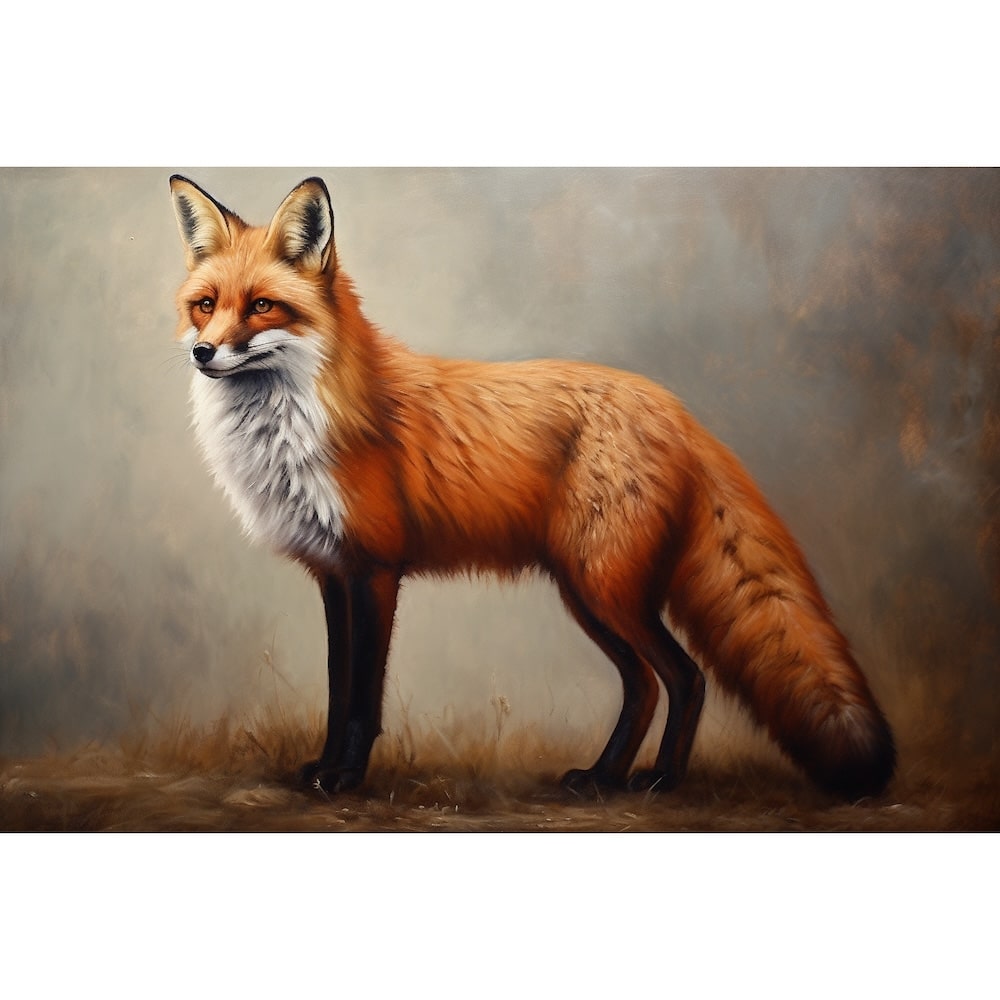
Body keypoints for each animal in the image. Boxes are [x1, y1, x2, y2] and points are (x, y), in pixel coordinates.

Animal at [169, 174, 896, 801]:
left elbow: (362, 698)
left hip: (604, 588)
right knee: (644, 686)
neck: (298, 426)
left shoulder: (374, 569)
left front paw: (346, 777)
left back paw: (660, 780)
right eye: (205, 305)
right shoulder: (332, 573)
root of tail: (676, 408)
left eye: (263, 307)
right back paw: (603, 777)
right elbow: (336, 686)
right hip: (588, 592)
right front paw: (322, 768)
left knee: (684, 678)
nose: (203, 353)